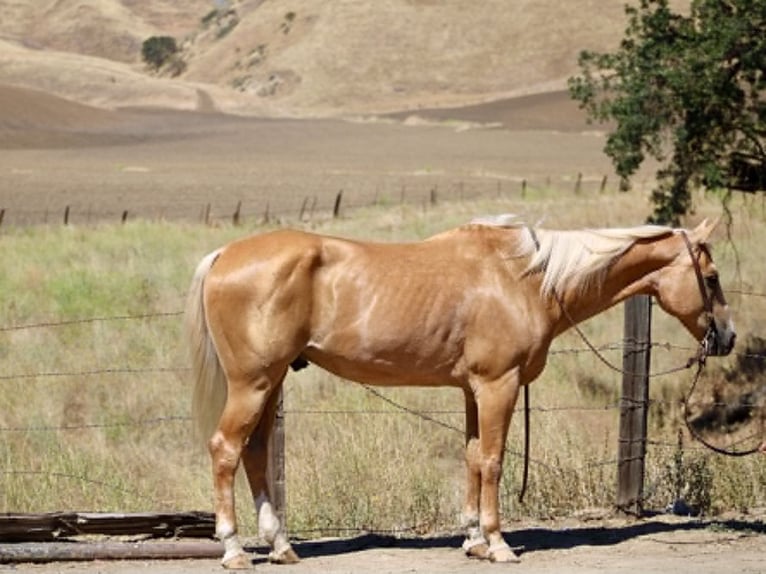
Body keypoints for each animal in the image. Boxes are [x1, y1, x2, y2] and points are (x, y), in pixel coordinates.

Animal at [186, 216, 735, 569]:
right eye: (711, 277)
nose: (726, 338)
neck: (525, 278)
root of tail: (223, 255)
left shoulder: (474, 390)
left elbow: (472, 457)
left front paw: (473, 541)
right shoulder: (498, 385)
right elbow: (492, 461)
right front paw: (498, 544)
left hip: (271, 383)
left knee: (254, 453)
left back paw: (280, 547)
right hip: (254, 383)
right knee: (226, 450)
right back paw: (234, 550)